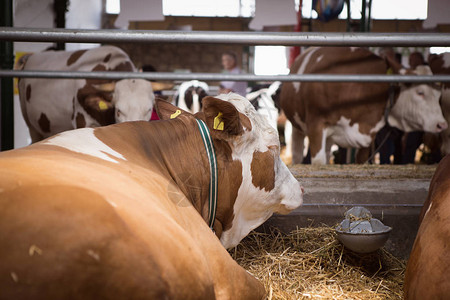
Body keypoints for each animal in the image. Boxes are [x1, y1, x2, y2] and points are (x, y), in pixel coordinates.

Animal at [282, 46, 446, 164]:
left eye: (438, 94)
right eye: (420, 92)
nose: (442, 124)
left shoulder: (368, 135)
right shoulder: (316, 126)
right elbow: (318, 162)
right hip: (297, 128)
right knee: (297, 154)